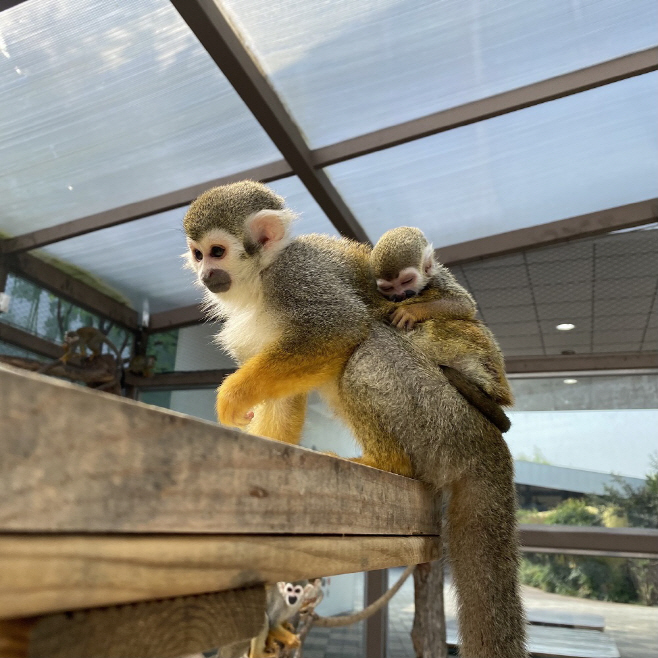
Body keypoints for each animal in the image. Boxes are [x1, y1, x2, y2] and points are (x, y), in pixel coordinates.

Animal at [183, 181, 528, 656]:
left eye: (217, 251)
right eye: (197, 254)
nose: (205, 274)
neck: (260, 278)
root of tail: (488, 439)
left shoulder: (297, 275)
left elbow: (341, 327)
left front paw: (233, 398)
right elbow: (286, 397)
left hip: (442, 417)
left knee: (365, 350)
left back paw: (386, 462)